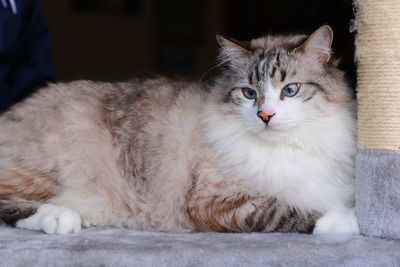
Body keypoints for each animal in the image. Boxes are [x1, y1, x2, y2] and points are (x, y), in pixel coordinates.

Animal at [0, 25, 358, 234]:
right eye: (249, 93)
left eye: (290, 90)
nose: (265, 115)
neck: (286, 148)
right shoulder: (218, 203)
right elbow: (289, 211)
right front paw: (349, 221)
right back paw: (62, 218)